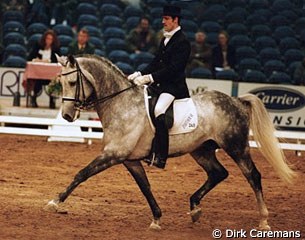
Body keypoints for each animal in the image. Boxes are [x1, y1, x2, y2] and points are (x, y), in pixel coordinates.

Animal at [46, 54, 296, 231]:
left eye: (71, 81)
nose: (67, 115)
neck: (121, 103)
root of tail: (236, 100)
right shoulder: (129, 159)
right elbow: (145, 187)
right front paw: (157, 218)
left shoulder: (114, 154)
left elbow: (82, 174)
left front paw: (55, 202)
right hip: (201, 150)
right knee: (218, 173)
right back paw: (195, 209)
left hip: (236, 147)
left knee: (253, 176)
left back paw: (263, 221)